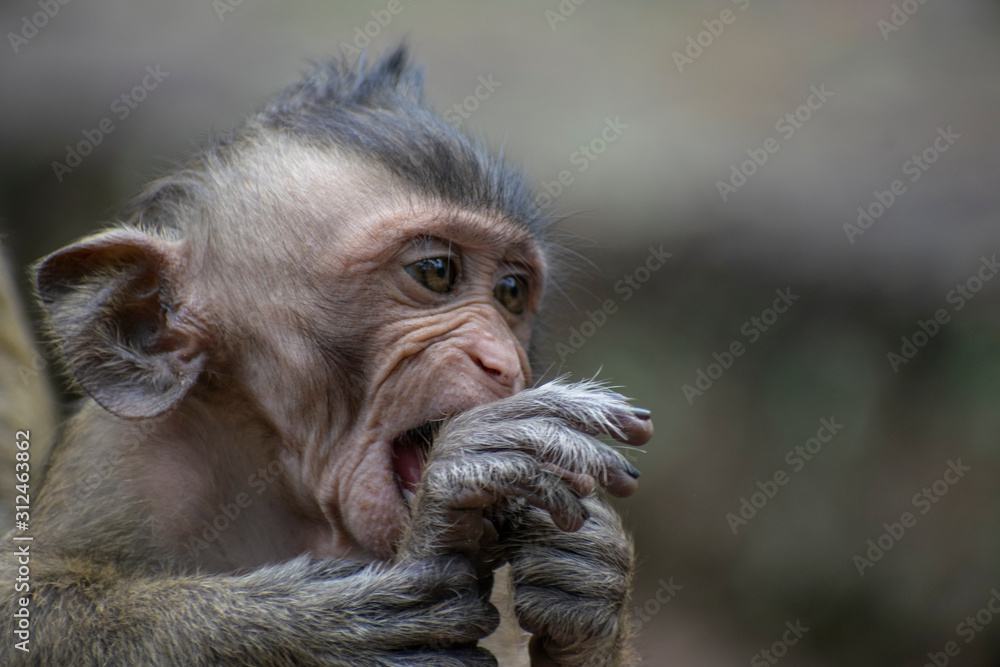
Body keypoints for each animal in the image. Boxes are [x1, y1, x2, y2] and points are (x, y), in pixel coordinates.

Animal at [0, 47, 653, 666]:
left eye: (511, 292)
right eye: (435, 272)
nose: (504, 363)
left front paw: (588, 580)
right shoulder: (121, 464)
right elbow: (29, 603)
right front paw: (314, 630)